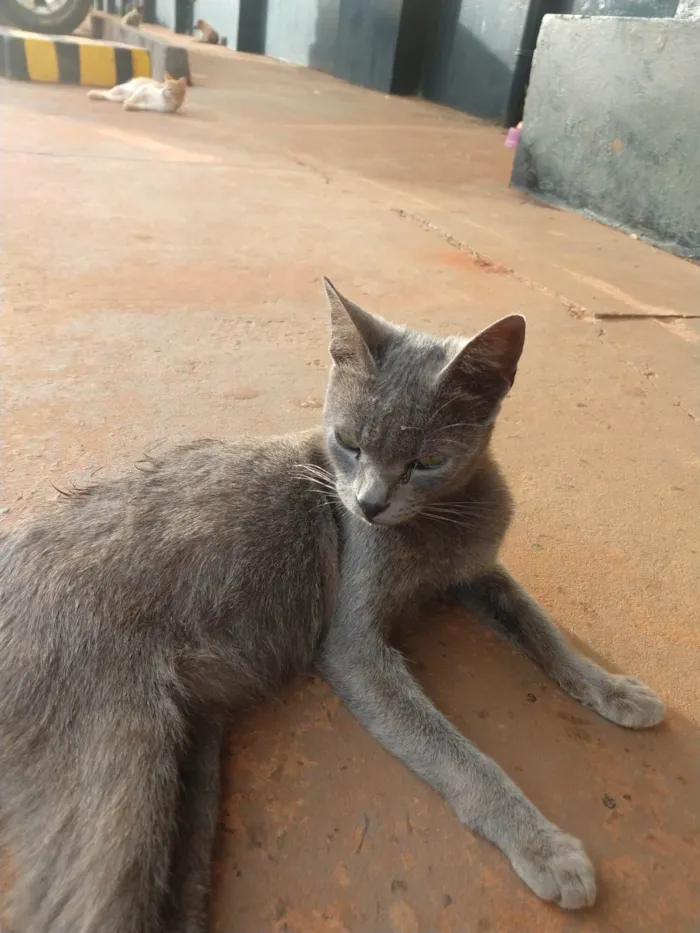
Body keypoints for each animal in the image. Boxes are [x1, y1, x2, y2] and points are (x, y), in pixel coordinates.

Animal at [0, 278, 664, 932]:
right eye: (347, 442)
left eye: (427, 461)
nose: (368, 505)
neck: (441, 526)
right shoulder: (353, 647)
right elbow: (455, 752)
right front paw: (545, 847)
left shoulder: (478, 574)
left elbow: (541, 627)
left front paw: (615, 689)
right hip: (118, 767)